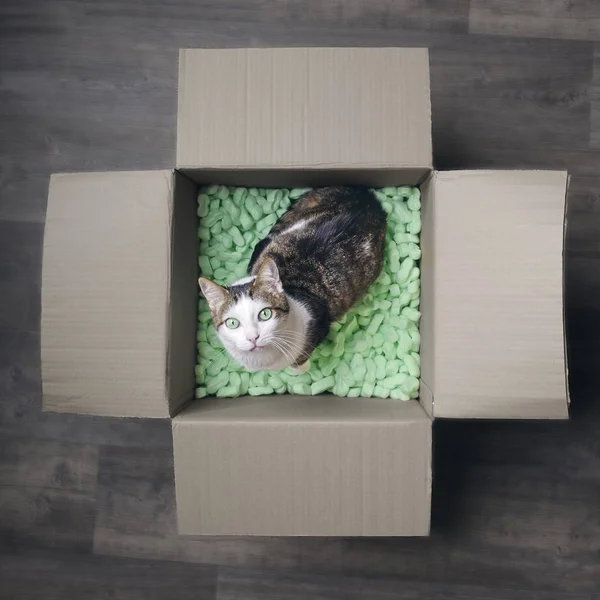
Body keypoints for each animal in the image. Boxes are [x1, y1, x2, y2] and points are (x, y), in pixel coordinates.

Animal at [199, 188, 386, 372]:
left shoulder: (318, 329)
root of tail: (367, 196)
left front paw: (301, 369)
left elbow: (300, 362)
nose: (253, 337)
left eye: (265, 314)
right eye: (232, 323)